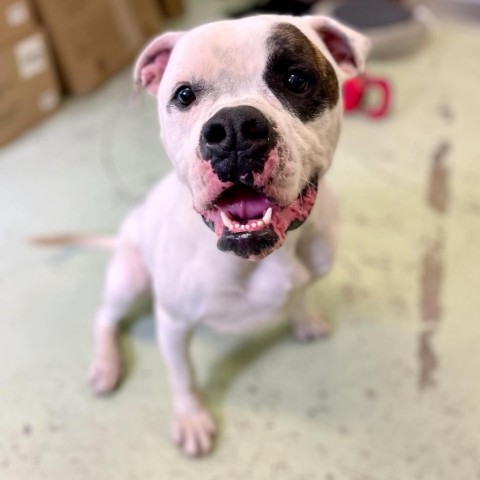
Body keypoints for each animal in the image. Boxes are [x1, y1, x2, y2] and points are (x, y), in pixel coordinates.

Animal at [71, 15, 370, 456]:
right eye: (184, 95)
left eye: (296, 79)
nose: (234, 128)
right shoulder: (173, 322)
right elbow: (182, 376)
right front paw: (191, 418)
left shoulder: (308, 272)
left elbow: (301, 294)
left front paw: (304, 318)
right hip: (131, 276)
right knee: (104, 316)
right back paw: (106, 364)